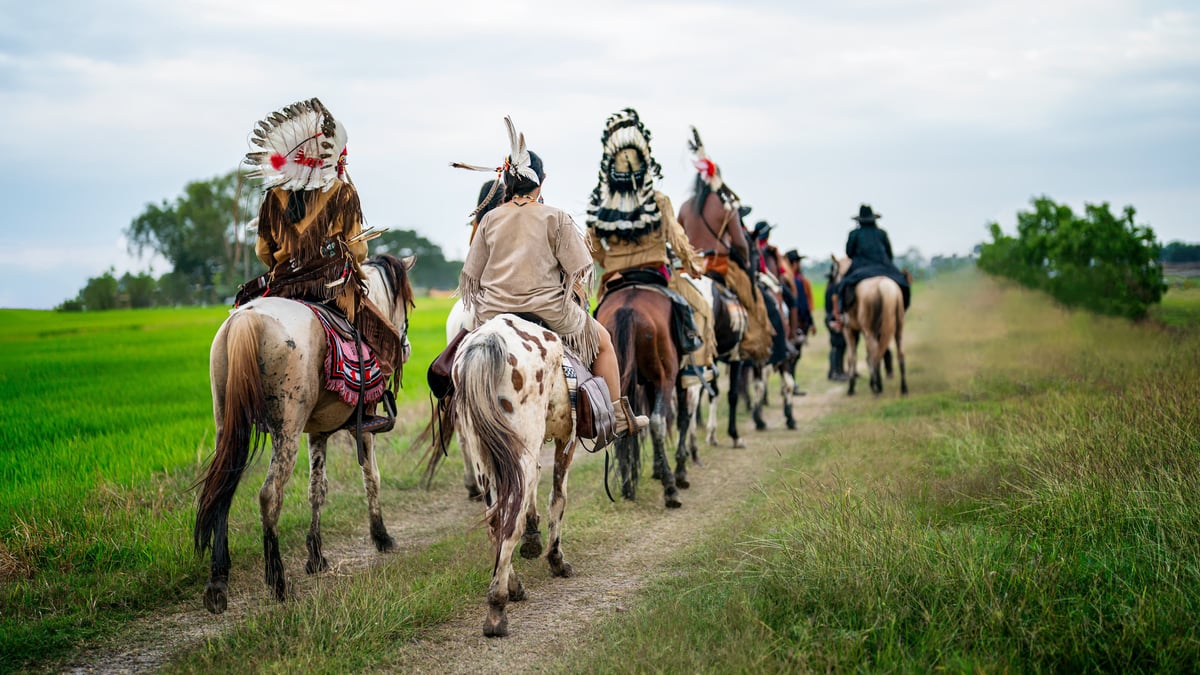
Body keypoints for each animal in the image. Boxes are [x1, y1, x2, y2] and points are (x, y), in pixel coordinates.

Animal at [194, 252, 415, 610]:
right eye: (407, 304)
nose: (405, 346)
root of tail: (246, 319)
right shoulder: (363, 425)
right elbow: (372, 477)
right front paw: (381, 536)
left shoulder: (318, 431)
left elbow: (317, 489)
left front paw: (316, 556)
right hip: (287, 427)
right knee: (269, 495)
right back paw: (278, 582)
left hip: (228, 423)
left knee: (221, 492)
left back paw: (218, 582)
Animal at [427, 312, 580, 634]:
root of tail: (488, 341)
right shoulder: (566, 438)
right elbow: (558, 498)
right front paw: (556, 559)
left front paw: (534, 540)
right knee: (509, 522)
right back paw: (497, 609)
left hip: (485, 455)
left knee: (496, 519)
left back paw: (512, 586)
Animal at [592, 282, 686, 504]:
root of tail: (627, 309)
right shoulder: (682, 376)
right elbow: (683, 417)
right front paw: (680, 471)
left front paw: (657, 469)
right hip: (665, 378)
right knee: (658, 422)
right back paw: (670, 487)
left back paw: (628, 486)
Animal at [835, 254, 907, 396]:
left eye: (837, 271)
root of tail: (885, 286)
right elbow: (867, 356)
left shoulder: (849, 331)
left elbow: (852, 358)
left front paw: (851, 387)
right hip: (898, 329)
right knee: (898, 354)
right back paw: (903, 388)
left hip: (869, 332)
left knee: (875, 355)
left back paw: (877, 386)